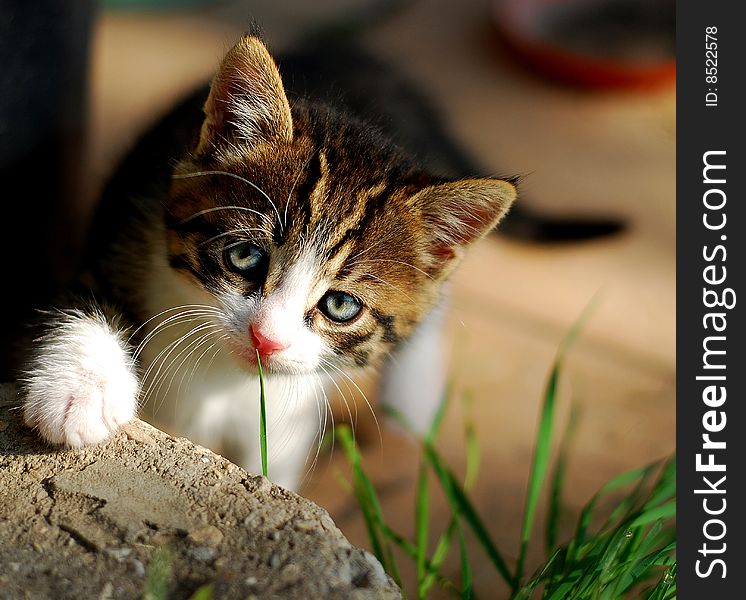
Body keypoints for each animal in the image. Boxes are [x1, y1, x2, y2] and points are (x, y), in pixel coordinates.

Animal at [20, 35, 516, 488]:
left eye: (341, 306)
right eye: (245, 256)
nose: (266, 340)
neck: (221, 377)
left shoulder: (285, 417)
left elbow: (270, 470)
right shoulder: (120, 229)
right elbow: (87, 300)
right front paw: (80, 393)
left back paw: (412, 403)